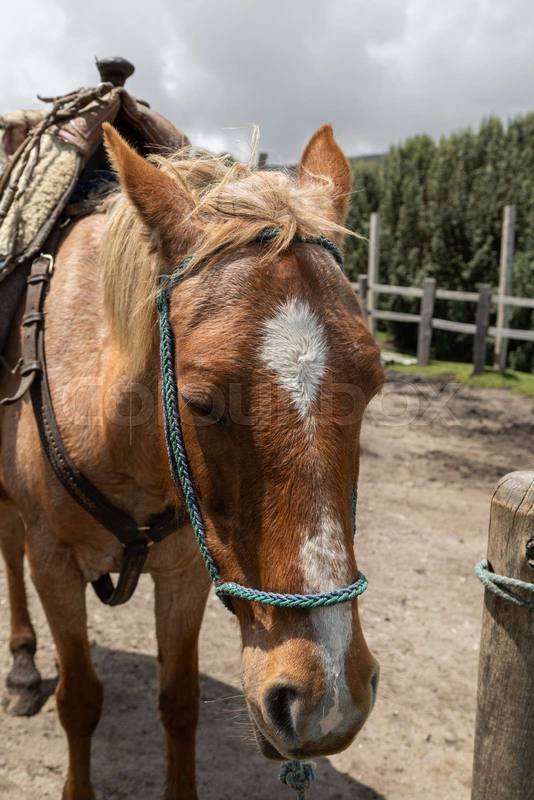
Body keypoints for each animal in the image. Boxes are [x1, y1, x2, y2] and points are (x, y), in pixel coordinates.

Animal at [0, 122, 384, 799]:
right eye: (201, 403)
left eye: (374, 385)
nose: (328, 698)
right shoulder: (55, 566)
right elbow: (80, 699)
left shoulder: (184, 573)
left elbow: (179, 702)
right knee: (8, 548)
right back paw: (22, 667)